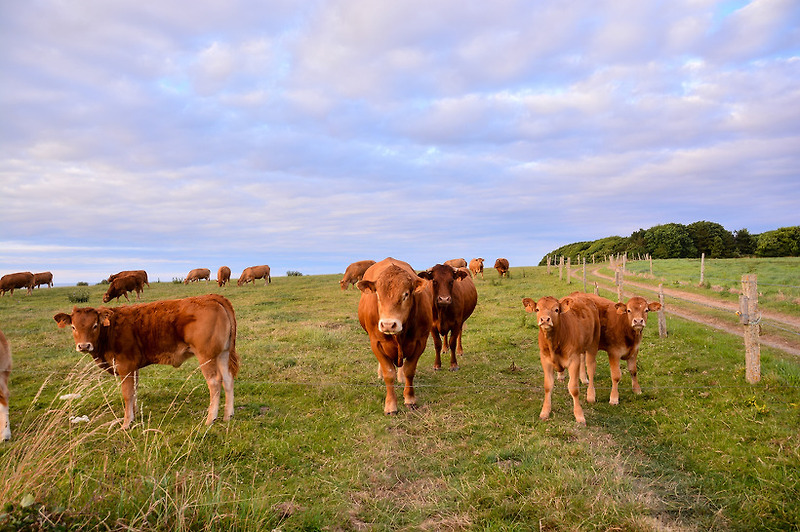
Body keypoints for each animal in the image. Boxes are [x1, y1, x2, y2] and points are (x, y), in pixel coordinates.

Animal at [54, 294, 238, 430]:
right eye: (73, 327)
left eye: (94, 325)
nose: (84, 346)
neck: (111, 330)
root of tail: (210, 297)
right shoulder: (133, 367)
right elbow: (134, 391)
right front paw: (133, 415)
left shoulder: (125, 366)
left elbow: (127, 394)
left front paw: (126, 423)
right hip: (222, 354)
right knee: (228, 379)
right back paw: (228, 415)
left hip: (206, 356)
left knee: (214, 382)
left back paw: (210, 419)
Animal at [356, 258, 432, 416]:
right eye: (378, 295)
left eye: (406, 294)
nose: (388, 324)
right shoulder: (376, 343)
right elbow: (389, 373)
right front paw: (390, 406)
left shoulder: (420, 342)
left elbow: (410, 370)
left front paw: (410, 399)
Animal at [520, 296, 596, 424]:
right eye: (537, 309)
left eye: (556, 310)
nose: (545, 319)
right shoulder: (545, 360)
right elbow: (547, 386)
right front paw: (545, 412)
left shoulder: (573, 360)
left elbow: (573, 388)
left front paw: (579, 415)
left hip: (592, 345)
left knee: (590, 367)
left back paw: (590, 393)